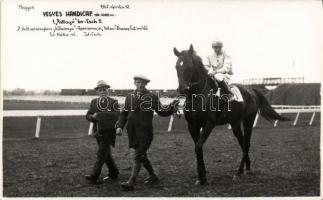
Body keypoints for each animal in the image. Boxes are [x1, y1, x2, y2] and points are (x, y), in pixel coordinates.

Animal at [173, 44, 290, 185]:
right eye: (177, 66)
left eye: (190, 66)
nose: (182, 89)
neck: (199, 96)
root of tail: (252, 90)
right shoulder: (192, 125)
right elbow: (197, 147)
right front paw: (200, 175)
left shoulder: (208, 124)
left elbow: (198, 147)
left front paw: (203, 178)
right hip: (235, 123)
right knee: (243, 142)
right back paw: (247, 167)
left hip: (248, 120)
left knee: (246, 143)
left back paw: (239, 171)